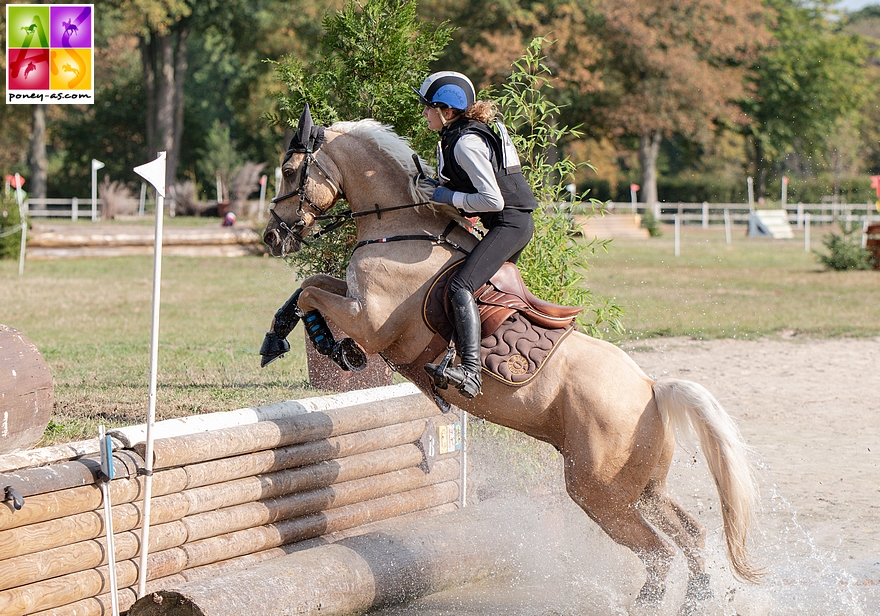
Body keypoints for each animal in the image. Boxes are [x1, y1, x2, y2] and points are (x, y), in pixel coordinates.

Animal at [262, 109, 764, 612]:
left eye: (288, 170)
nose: (271, 236)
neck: (401, 228)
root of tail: (651, 388)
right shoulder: (354, 302)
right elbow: (310, 283)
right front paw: (281, 338)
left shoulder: (371, 320)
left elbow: (311, 292)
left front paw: (333, 346)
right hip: (643, 488)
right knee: (691, 535)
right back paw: (698, 599)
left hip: (598, 491)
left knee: (659, 552)